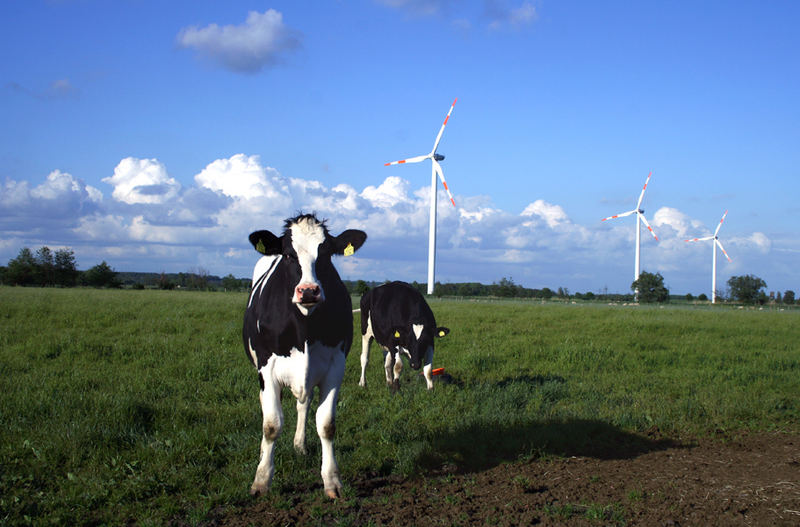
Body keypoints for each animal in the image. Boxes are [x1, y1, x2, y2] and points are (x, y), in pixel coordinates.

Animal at [242, 213, 368, 500]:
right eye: (289, 255)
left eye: (327, 253)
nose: (309, 291)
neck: (304, 327)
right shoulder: (267, 368)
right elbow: (271, 424)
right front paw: (261, 480)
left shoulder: (335, 367)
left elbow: (326, 424)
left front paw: (332, 481)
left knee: (304, 404)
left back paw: (300, 445)